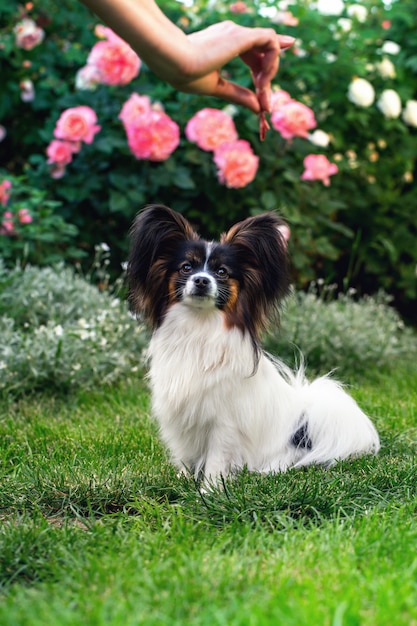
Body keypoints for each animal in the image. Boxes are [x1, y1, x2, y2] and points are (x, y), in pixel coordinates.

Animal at [128, 204, 378, 478]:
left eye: (222, 272)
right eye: (186, 267)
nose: (202, 280)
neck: (199, 326)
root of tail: (304, 417)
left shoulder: (225, 422)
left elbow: (216, 460)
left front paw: (209, 487)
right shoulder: (181, 418)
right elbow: (184, 456)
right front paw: (182, 480)